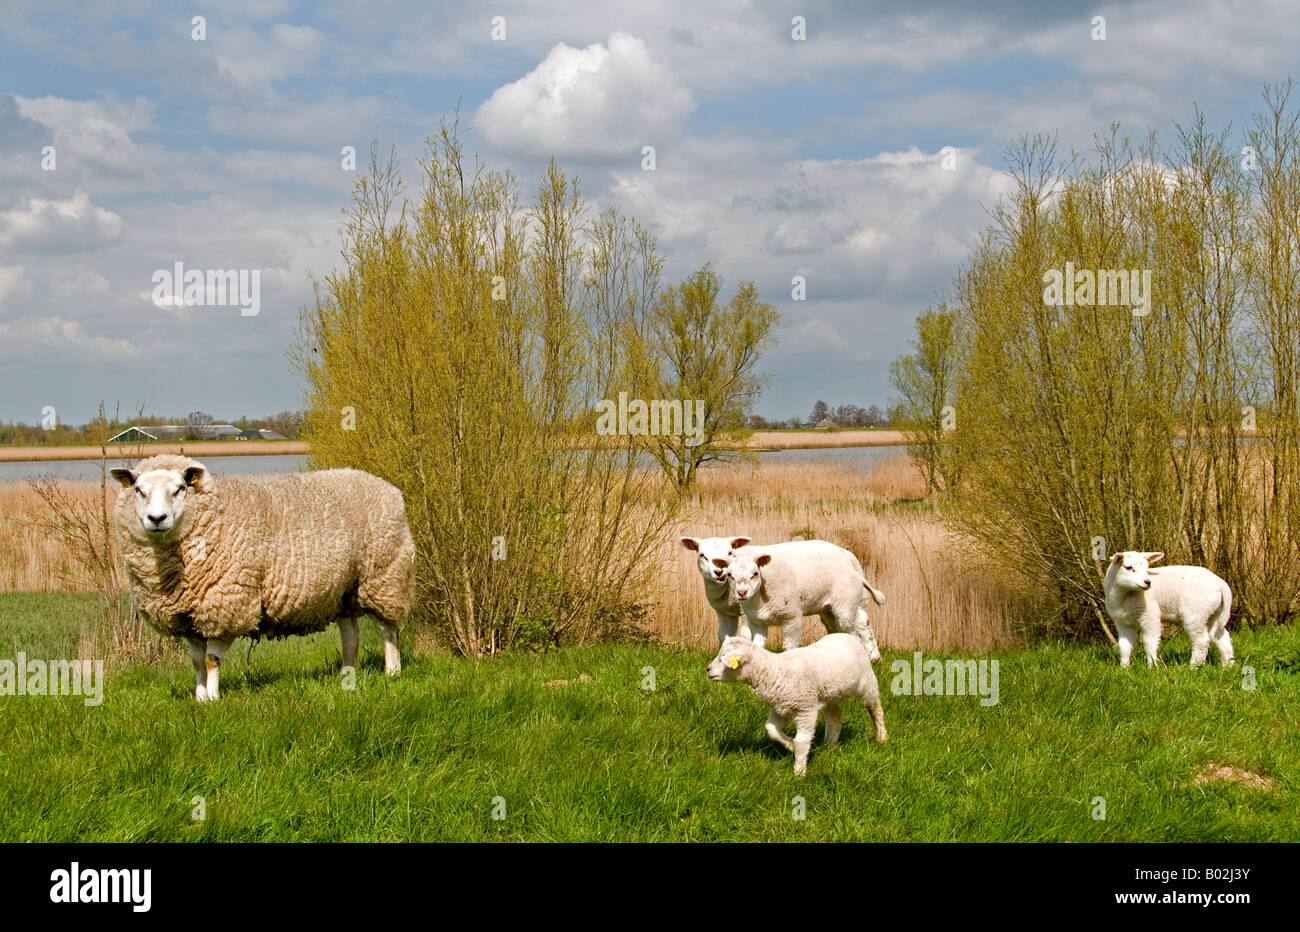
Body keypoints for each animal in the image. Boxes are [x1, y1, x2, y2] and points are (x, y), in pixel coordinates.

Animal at [116, 454, 413, 701]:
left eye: (180, 488)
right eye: (139, 490)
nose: (157, 518)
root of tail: (388, 487)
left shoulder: (226, 607)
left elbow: (212, 660)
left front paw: (212, 700)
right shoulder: (192, 617)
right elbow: (197, 662)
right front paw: (199, 699)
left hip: (385, 575)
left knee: (388, 630)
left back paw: (393, 672)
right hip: (344, 590)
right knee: (350, 634)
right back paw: (347, 674)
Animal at [681, 535, 883, 657]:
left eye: (730, 552)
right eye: (702, 555)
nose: (719, 572)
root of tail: (848, 554)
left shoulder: (747, 611)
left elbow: (745, 636)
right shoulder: (724, 612)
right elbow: (724, 636)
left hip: (844, 599)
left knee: (860, 620)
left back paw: (873, 656)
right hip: (826, 605)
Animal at [707, 629, 889, 774]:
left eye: (723, 658)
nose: (707, 670)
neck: (775, 670)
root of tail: (845, 635)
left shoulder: (806, 709)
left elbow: (801, 740)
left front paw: (799, 771)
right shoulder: (779, 708)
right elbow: (771, 730)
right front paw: (790, 746)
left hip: (867, 683)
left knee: (875, 710)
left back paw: (882, 737)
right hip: (829, 694)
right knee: (835, 718)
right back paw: (829, 746)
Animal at [1102, 548, 1232, 665]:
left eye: (1147, 568)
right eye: (1128, 567)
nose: (1147, 582)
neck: (1124, 596)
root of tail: (1220, 583)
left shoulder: (1150, 616)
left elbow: (1149, 642)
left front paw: (1152, 666)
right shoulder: (1123, 622)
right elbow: (1124, 646)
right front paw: (1124, 668)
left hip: (1195, 612)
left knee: (1201, 641)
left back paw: (1193, 667)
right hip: (1211, 613)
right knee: (1221, 637)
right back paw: (1227, 666)